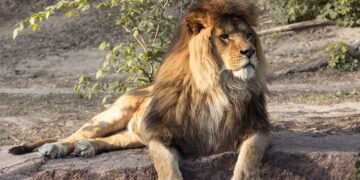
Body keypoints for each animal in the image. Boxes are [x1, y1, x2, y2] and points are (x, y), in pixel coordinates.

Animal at [8, 0, 270, 179]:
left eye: (248, 34)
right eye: (224, 37)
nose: (250, 52)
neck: (218, 87)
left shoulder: (258, 129)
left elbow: (247, 159)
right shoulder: (160, 134)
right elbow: (166, 166)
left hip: (134, 133)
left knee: (112, 140)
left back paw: (89, 147)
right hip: (111, 115)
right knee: (75, 134)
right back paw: (56, 147)